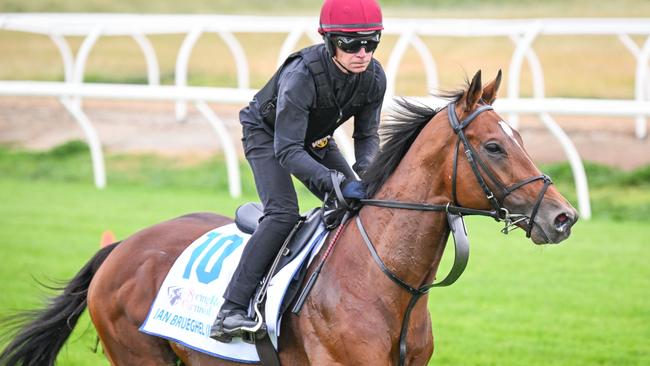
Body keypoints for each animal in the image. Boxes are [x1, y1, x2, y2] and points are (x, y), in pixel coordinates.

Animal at [0, 70, 576, 364]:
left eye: (521, 137)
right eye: (496, 146)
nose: (563, 216)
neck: (386, 281)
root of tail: (120, 248)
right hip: (140, 355)